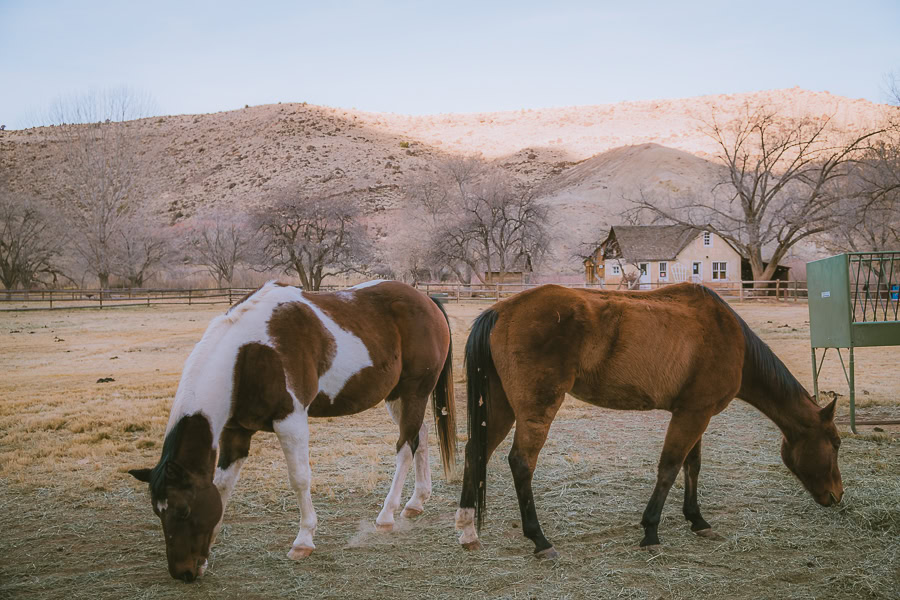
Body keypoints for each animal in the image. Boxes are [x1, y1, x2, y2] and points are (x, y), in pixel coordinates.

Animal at [126, 282, 458, 580]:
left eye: (182, 510)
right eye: (158, 512)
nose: (182, 573)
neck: (247, 355)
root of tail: (427, 301)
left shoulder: (291, 421)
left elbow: (299, 479)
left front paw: (304, 541)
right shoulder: (235, 433)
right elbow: (222, 487)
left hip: (414, 392)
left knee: (404, 447)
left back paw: (386, 515)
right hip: (398, 397)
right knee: (419, 436)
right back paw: (416, 502)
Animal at [458, 282, 844, 556]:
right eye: (837, 443)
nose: (837, 495)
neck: (728, 336)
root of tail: (500, 309)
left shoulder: (694, 413)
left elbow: (692, 466)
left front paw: (697, 520)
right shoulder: (692, 415)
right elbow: (670, 468)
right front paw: (651, 531)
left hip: (500, 407)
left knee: (475, 452)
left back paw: (467, 530)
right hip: (536, 410)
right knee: (521, 462)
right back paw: (539, 539)